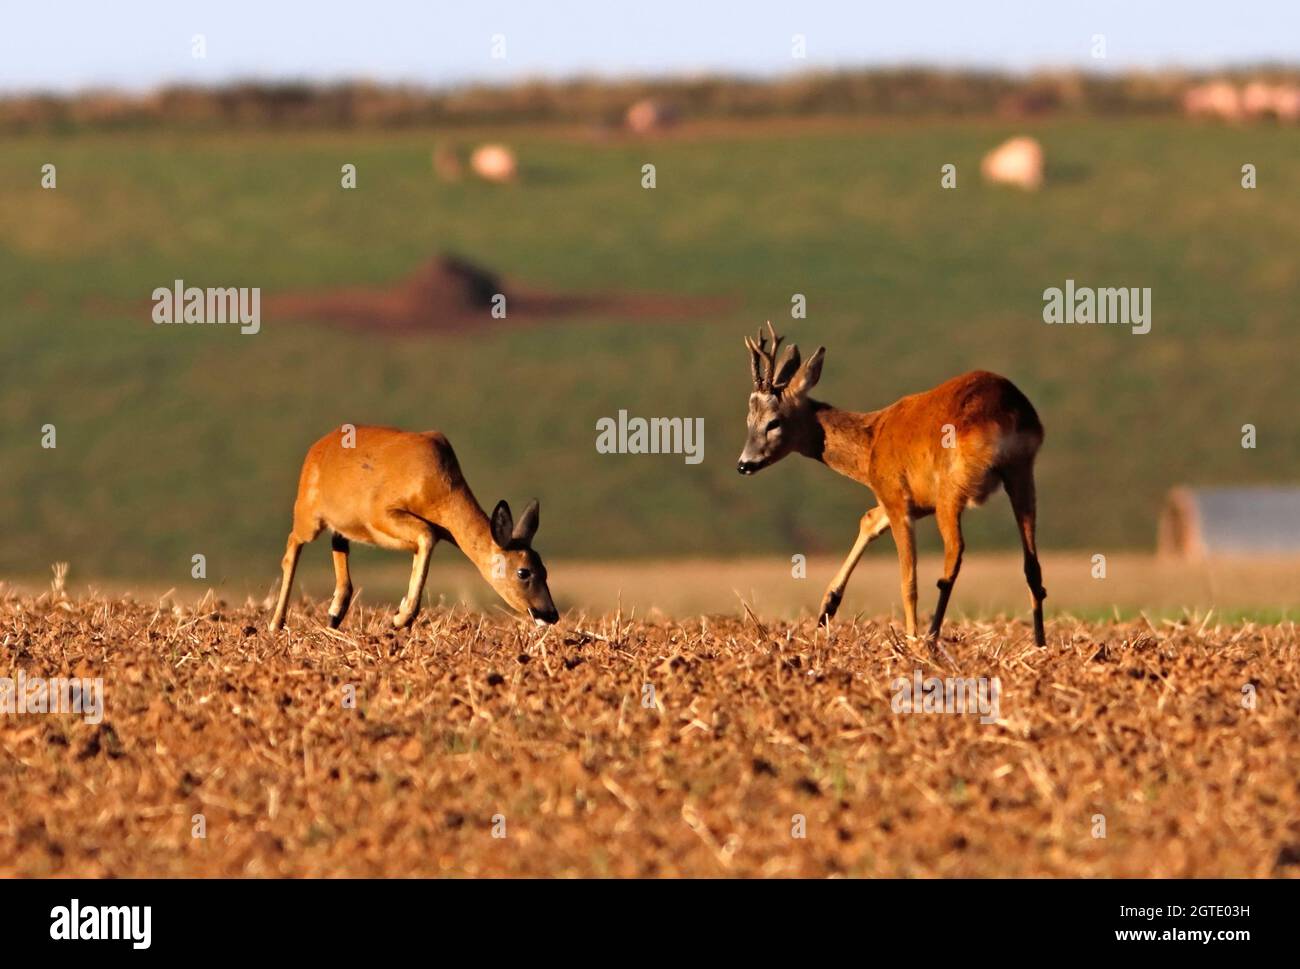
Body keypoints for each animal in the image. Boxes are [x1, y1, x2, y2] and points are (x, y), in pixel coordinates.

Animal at [269, 424, 559, 626]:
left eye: (545, 569)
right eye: (523, 572)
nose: (550, 614)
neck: (439, 486)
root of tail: (316, 448)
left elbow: (424, 544)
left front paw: (401, 615)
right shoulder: (380, 513)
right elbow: (427, 535)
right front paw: (401, 618)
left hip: (341, 521)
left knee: (338, 544)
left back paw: (334, 614)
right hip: (308, 514)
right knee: (292, 545)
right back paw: (276, 623)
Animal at [738, 321, 1050, 645]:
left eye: (773, 422)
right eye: (748, 420)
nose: (744, 464)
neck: (871, 443)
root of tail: (1006, 412)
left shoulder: (896, 496)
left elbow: (907, 579)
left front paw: (909, 638)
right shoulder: (911, 501)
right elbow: (868, 520)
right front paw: (827, 608)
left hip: (953, 487)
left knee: (954, 553)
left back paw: (930, 637)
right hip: (1020, 472)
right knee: (1032, 564)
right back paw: (1039, 642)